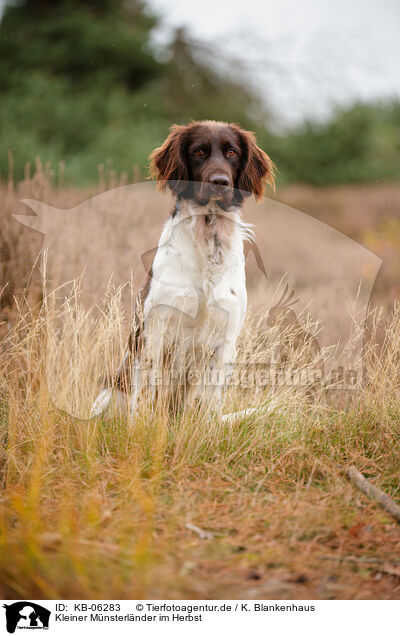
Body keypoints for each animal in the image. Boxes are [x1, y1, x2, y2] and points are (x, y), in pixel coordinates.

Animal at [90, 121, 274, 420]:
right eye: (199, 151)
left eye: (232, 152)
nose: (220, 182)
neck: (208, 241)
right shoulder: (154, 330)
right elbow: (145, 395)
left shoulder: (226, 339)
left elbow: (208, 401)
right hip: (109, 394)